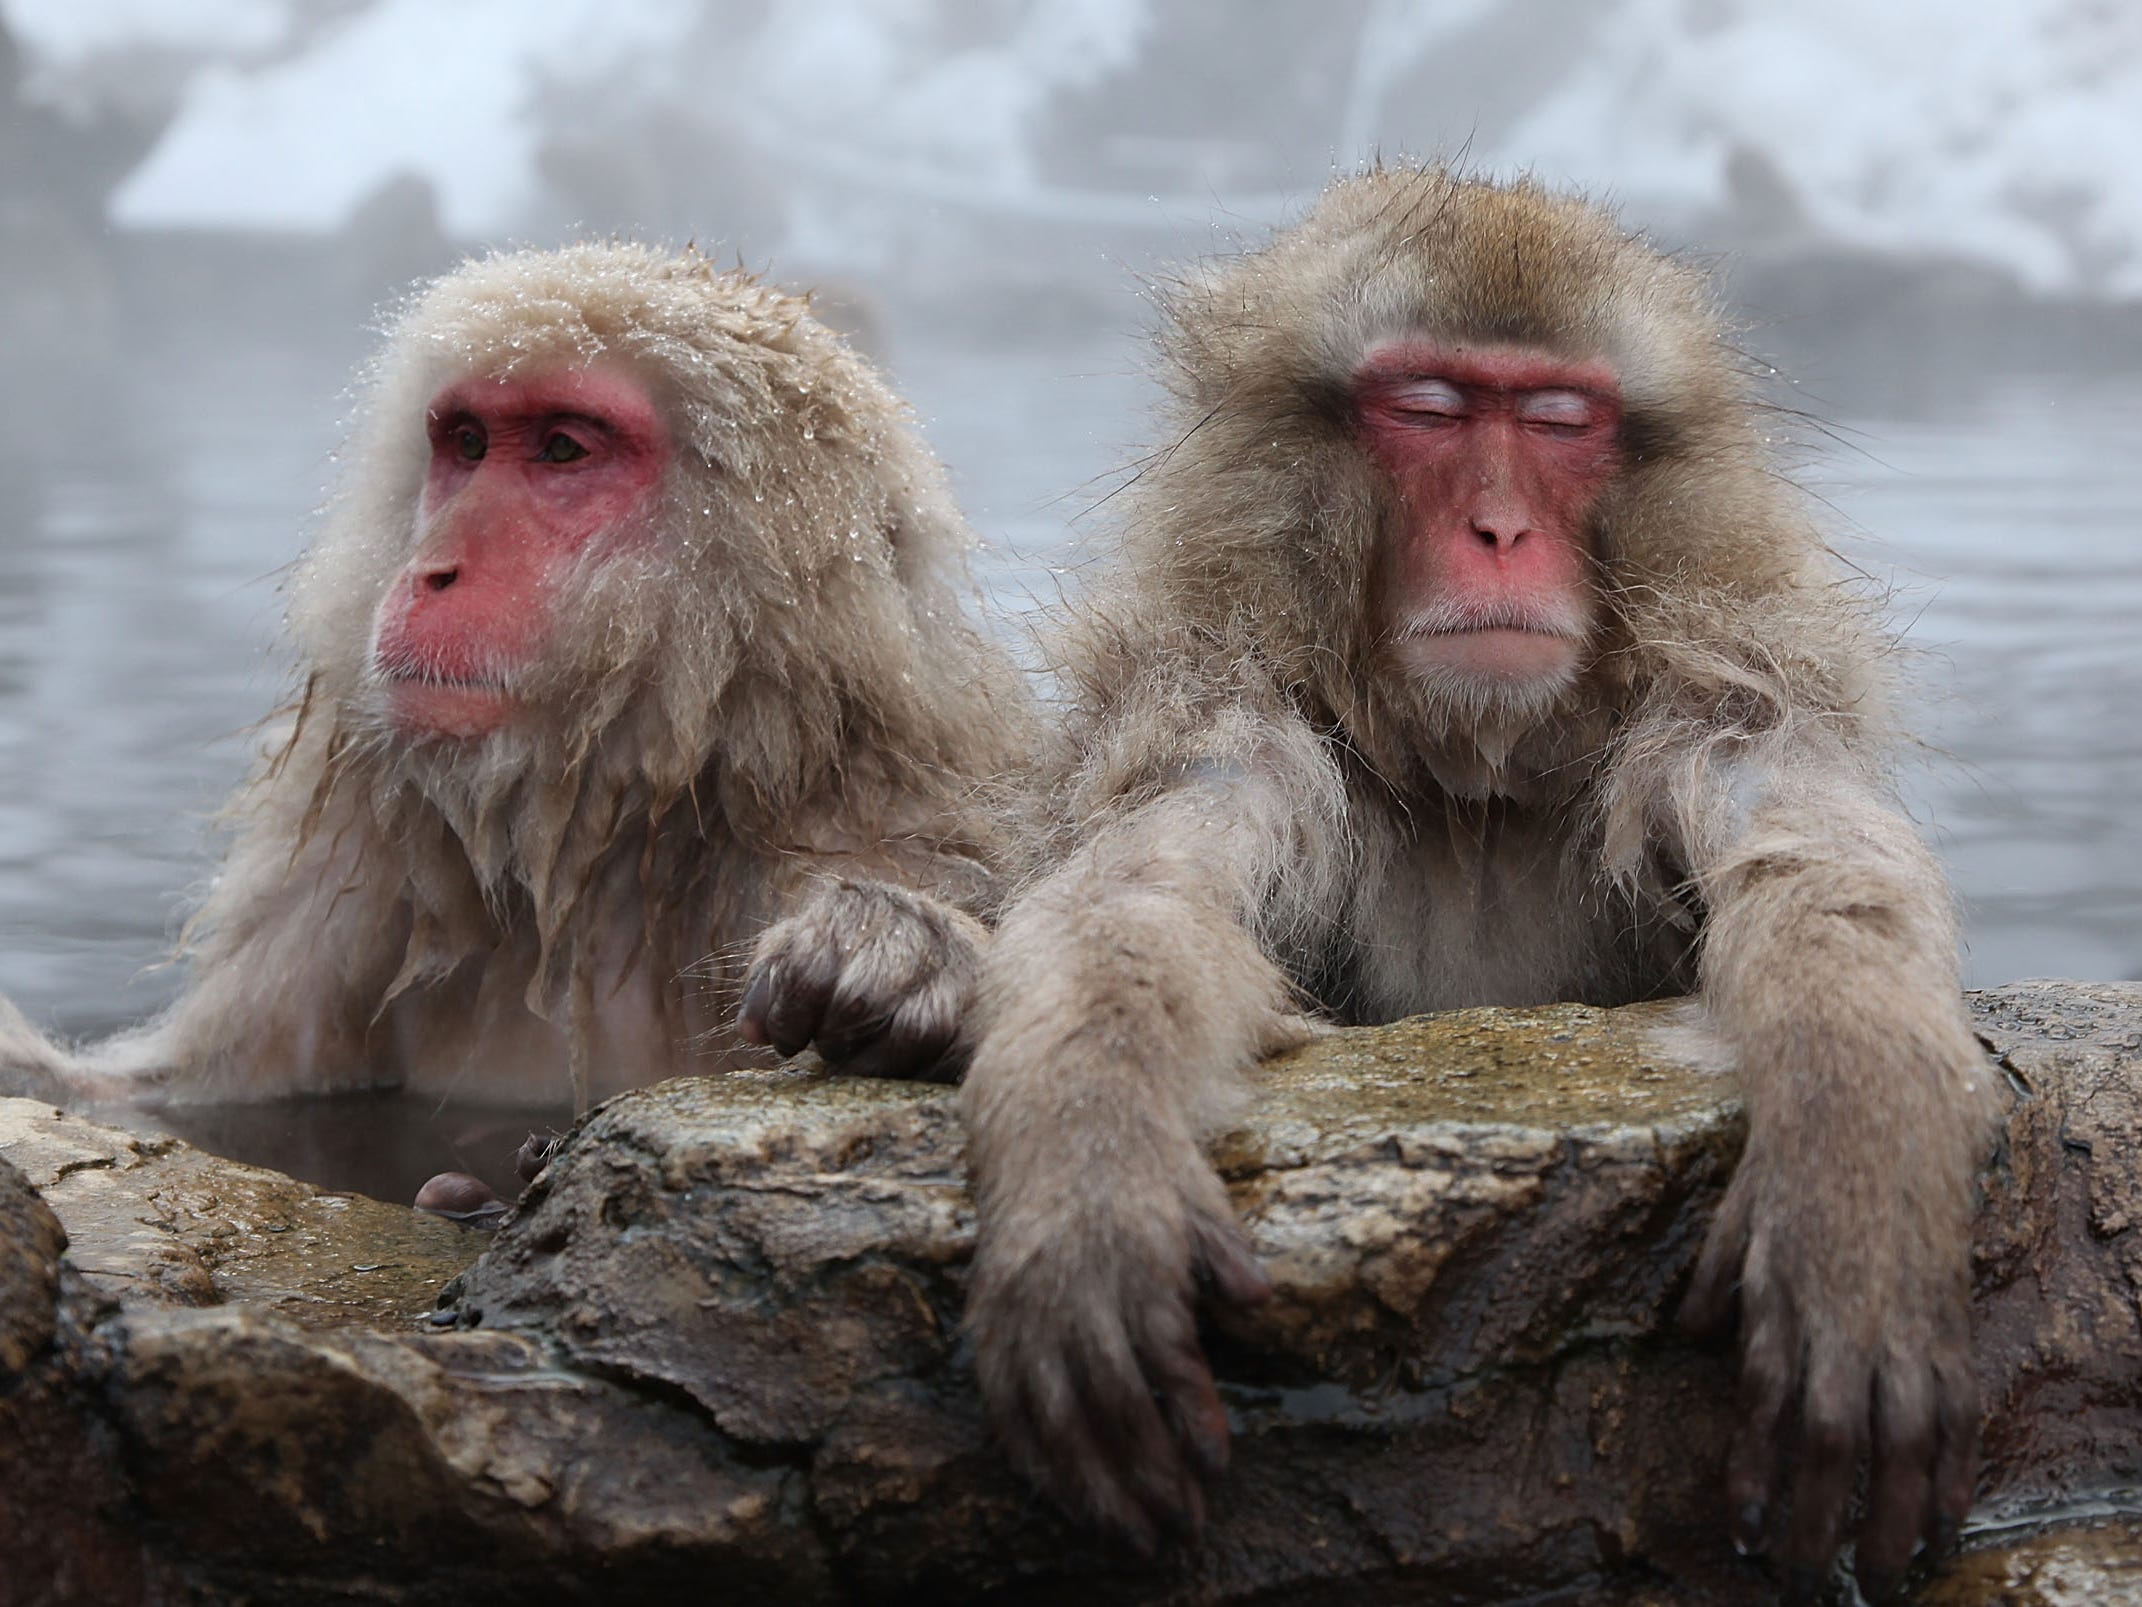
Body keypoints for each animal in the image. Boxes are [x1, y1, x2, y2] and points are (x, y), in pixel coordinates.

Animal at [0, 242, 1036, 1105]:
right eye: (466, 443)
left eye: (562, 448)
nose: (432, 569)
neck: (611, 834)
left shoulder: (887, 817)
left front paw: (901, 955)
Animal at [963, 170, 1996, 1602]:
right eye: (1432, 407)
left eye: (1559, 419)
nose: (1498, 529)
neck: (1479, 789)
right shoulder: (1228, 709)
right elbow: (1138, 897)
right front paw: (1086, 1175)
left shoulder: (1720, 693)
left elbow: (1815, 860)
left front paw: (1862, 1175)